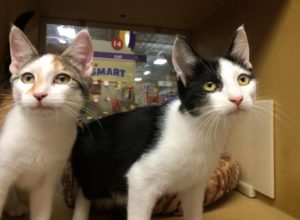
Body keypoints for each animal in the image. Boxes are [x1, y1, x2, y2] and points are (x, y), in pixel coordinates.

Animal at [71, 26, 256, 220]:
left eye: (243, 80)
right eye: (210, 86)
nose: (237, 98)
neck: (199, 129)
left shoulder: (195, 185)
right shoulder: (140, 179)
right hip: (96, 172)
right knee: (85, 192)